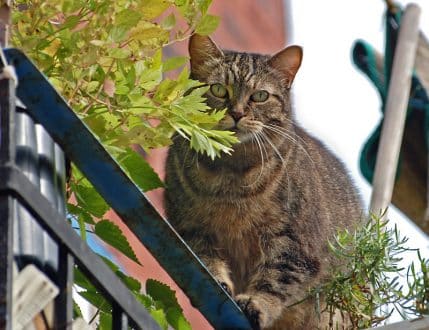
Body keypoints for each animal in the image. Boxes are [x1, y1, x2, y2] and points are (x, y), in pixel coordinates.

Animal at [164, 34, 362, 328]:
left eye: (260, 96)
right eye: (219, 90)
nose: (237, 113)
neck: (230, 177)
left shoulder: (296, 245)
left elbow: (276, 280)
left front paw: (256, 303)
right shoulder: (193, 228)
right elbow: (208, 262)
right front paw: (221, 282)